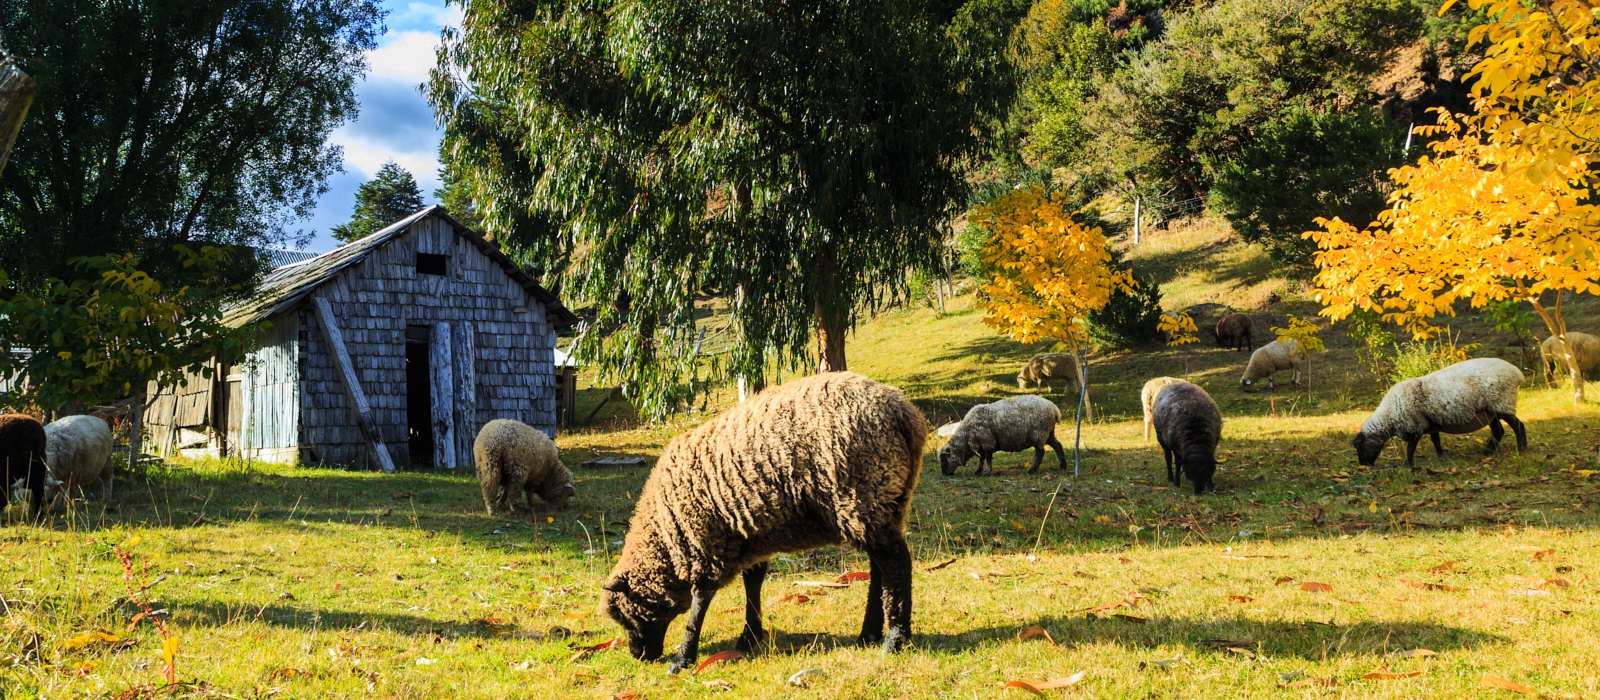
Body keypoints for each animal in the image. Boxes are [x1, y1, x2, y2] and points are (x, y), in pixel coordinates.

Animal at [601, 372, 928, 671]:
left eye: (626, 616)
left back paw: (894, 639)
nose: (639, 655)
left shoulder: (706, 544)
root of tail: (904, 413)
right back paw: (868, 634)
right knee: (880, 567)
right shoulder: (750, 538)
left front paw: (683, 657)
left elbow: (700, 602)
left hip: (863, 494)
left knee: (896, 564)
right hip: (885, 502)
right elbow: (753, 584)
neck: (665, 538)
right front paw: (750, 636)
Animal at [934, 393, 1062, 476]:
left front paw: (987, 473)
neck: (966, 436)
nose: (944, 474)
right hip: (1048, 433)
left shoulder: (986, 441)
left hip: (1039, 434)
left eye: (944, 459)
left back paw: (1032, 470)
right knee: (1058, 446)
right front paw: (978, 472)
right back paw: (1063, 466)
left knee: (1040, 452)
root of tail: (1055, 409)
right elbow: (981, 458)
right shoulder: (980, 445)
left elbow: (987, 458)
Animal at [1356, 354, 1529, 469]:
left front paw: (1407, 464)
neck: (1389, 417)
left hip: (1502, 403)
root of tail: (1516, 373)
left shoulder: (1415, 425)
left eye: (1359, 447)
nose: (1363, 466)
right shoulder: (1431, 423)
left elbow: (1411, 447)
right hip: (1490, 411)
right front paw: (1441, 456)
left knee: (1518, 426)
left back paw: (1522, 449)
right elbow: (1435, 440)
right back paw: (1488, 452)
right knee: (1498, 431)